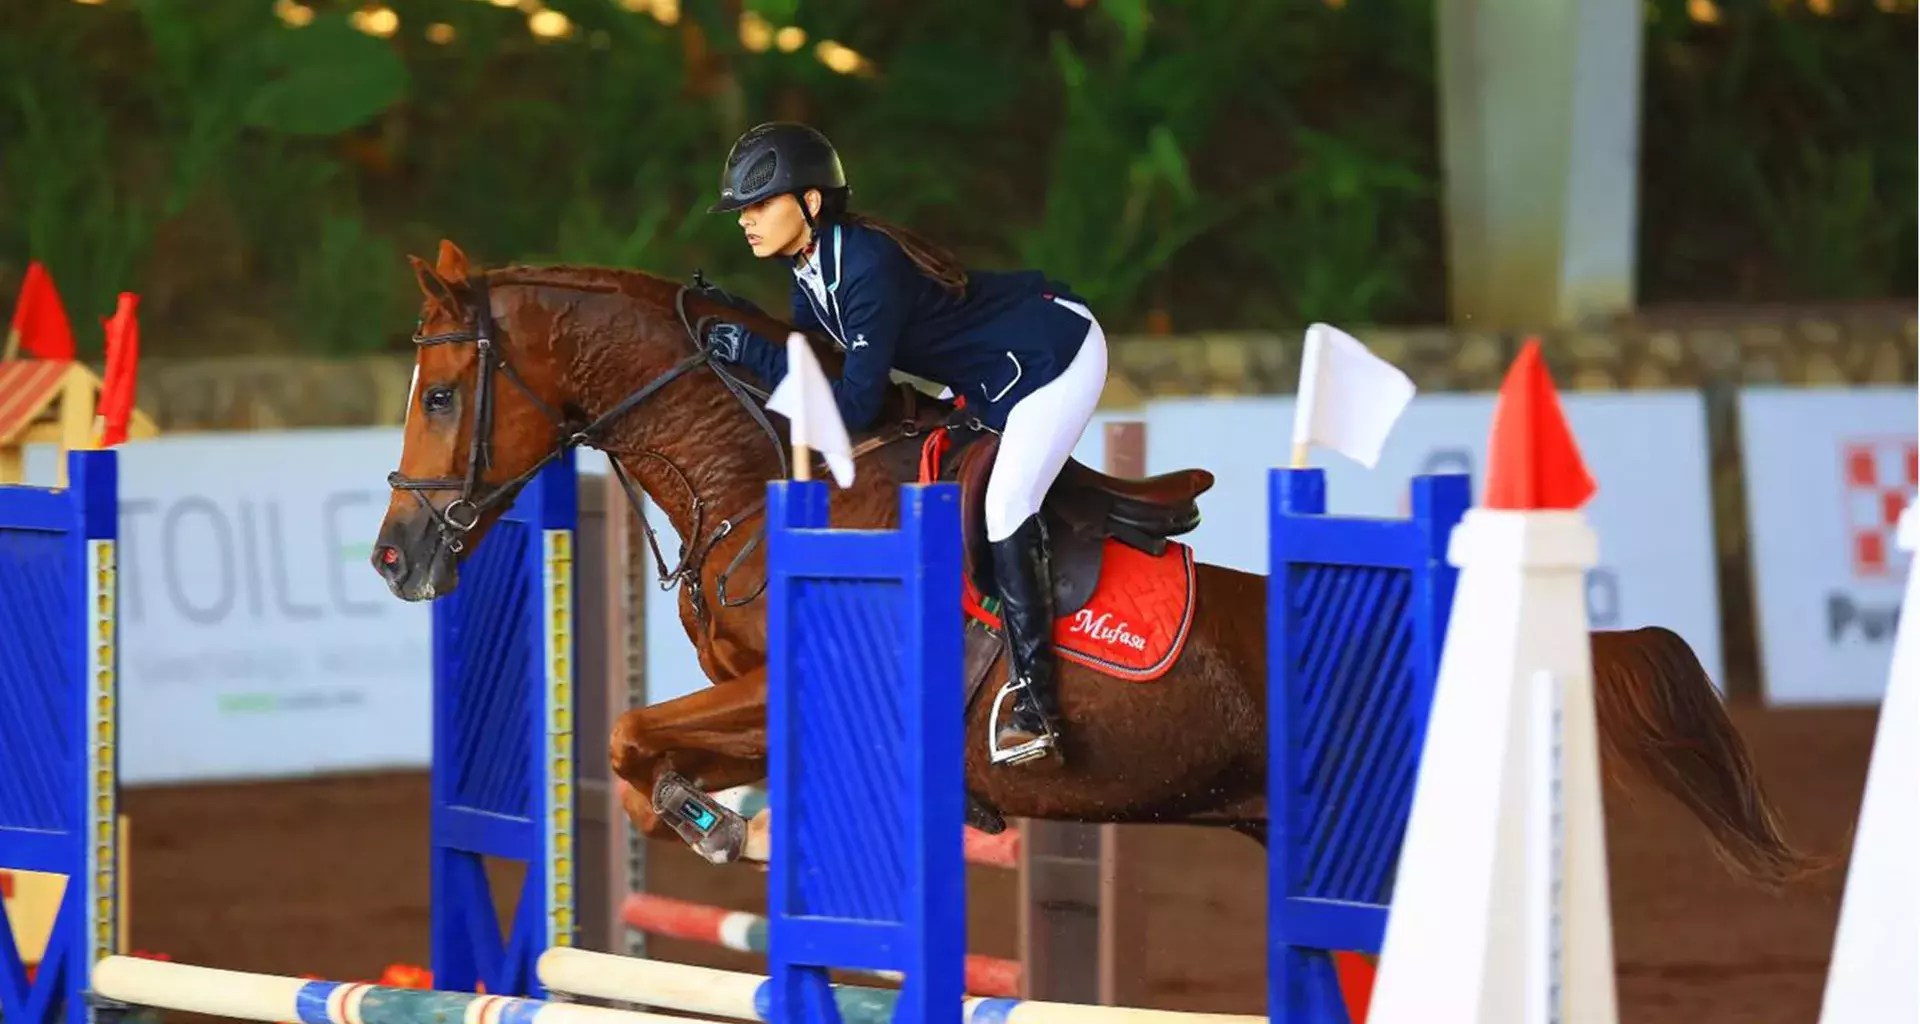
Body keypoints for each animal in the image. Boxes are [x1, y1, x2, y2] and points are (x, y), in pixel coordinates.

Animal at [366, 239, 1820, 887]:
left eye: (439, 396)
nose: (393, 556)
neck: (761, 475)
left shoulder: (784, 686)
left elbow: (633, 735)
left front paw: (715, 825)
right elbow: (638, 743)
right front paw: (719, 821)